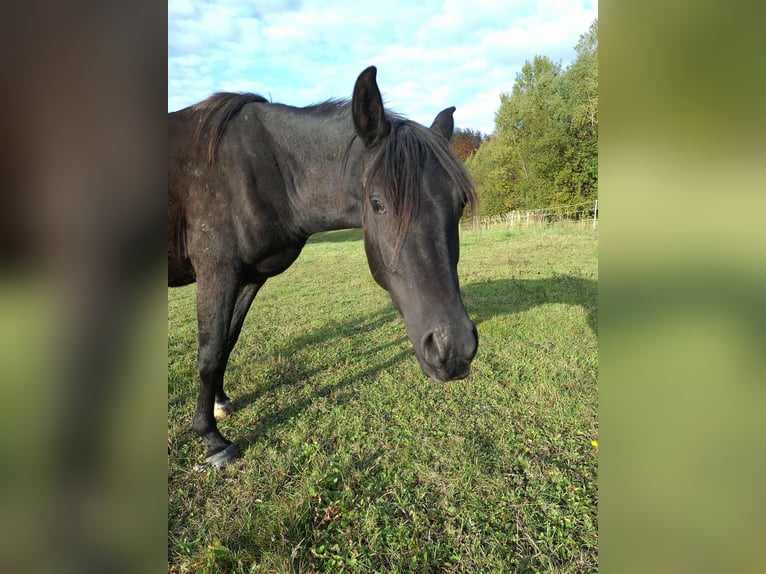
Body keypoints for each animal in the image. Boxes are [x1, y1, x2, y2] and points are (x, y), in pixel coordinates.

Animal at [168, 66, 479, 467]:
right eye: (377, 204)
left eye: (459, 204)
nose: (453, 349)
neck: (262, 170)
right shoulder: (216, 270)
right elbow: (208, 352)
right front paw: (212, 438)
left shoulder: (250, 276)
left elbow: (226, 342)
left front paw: (220, 403)